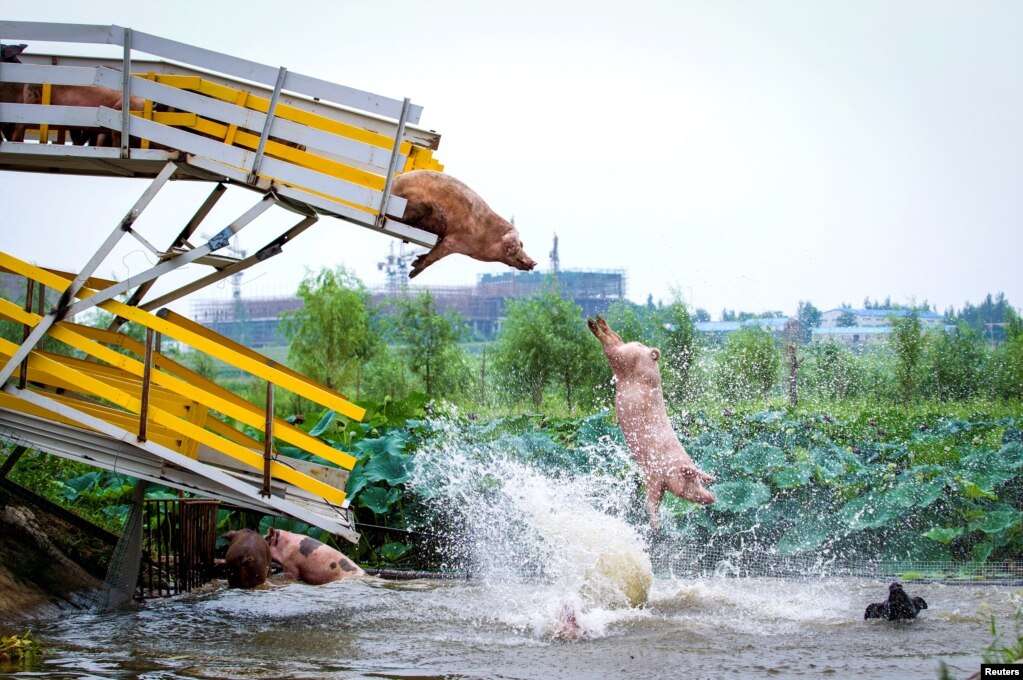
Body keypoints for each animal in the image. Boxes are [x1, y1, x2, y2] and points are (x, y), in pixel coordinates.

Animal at [388, 169, 540, 278]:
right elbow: (434, 257)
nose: (534, 262)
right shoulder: (453, 242)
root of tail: (393, 185)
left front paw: (415, 261)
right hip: (417, 205)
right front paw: (411, 274)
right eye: (518, 246)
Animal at [589, 314, 716, 531]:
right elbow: (652, 501)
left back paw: (597, 321)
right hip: (622, 358)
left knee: (615, 338)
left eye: (701, 481)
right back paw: (593, 324)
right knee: (610, 345)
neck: (671, 466)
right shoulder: (654, 475)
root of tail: (648, 352)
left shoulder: (657, 480)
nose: (712, 497)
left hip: (625, 352)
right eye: (692, 479)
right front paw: (655, 527)